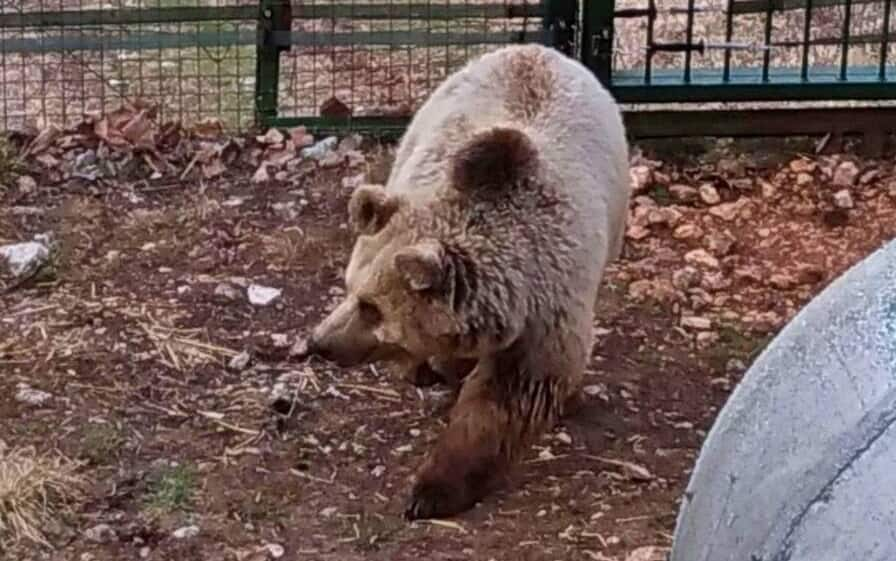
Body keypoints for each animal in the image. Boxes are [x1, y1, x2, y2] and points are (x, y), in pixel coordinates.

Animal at [308, 44, 632, 520]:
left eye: (371, 306)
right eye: (351, 288)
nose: (320, 343)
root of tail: (540, 49)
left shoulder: (547, 311)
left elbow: (505, 399)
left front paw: (432, 489)